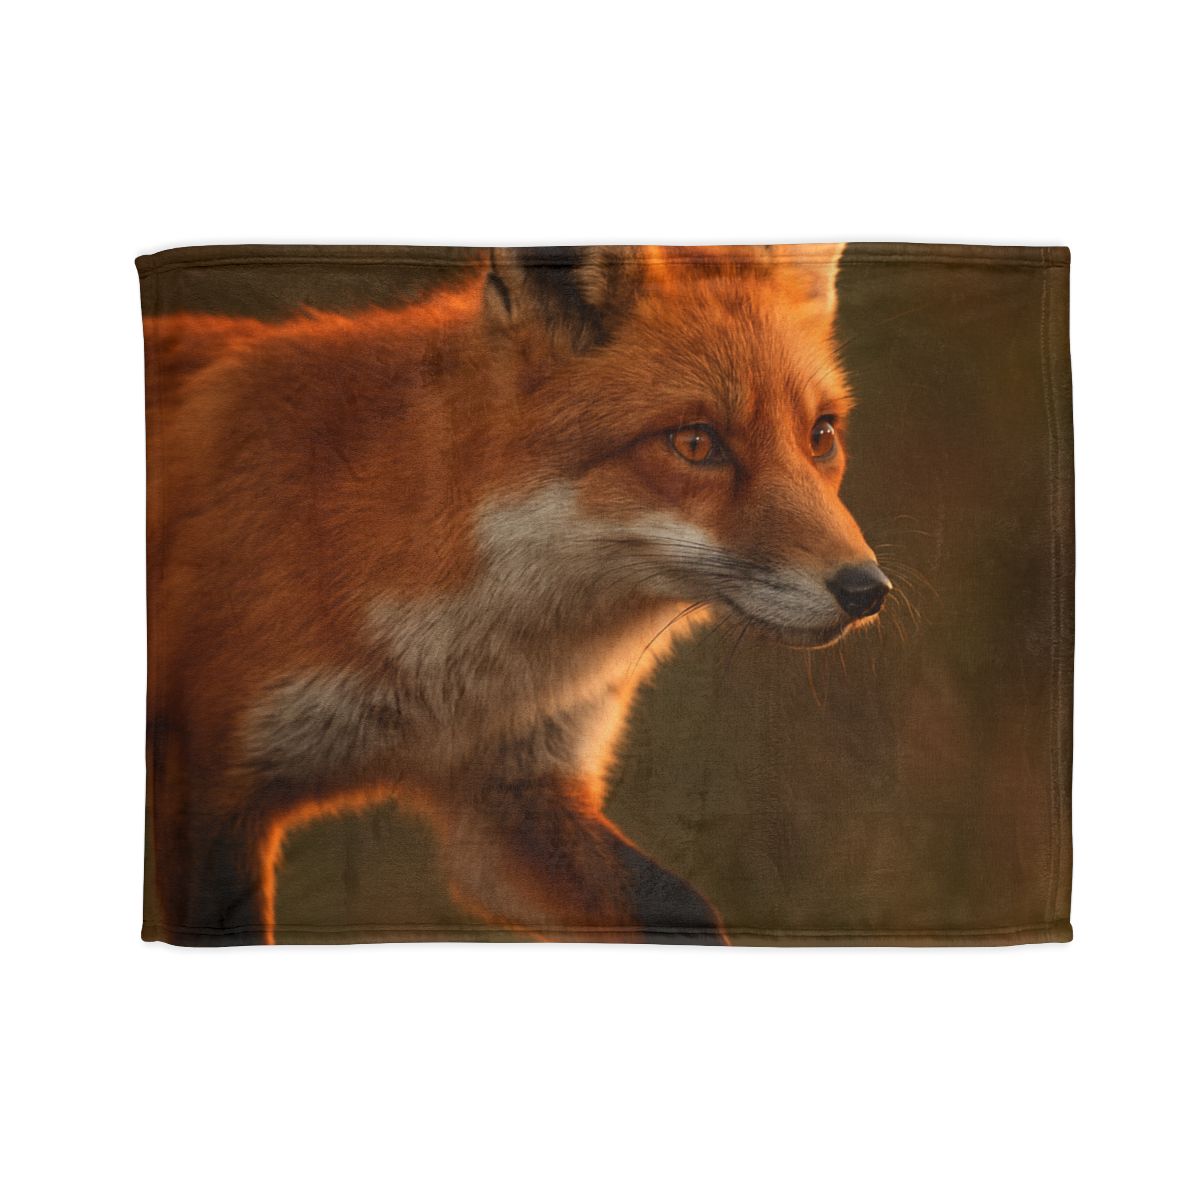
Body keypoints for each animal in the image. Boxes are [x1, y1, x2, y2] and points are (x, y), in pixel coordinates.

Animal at [144, 243, 891, 946]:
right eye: (695, 443)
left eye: (820, 436)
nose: (868, 590)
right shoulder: (211, 784)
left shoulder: (510, 801)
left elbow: (681, 910)